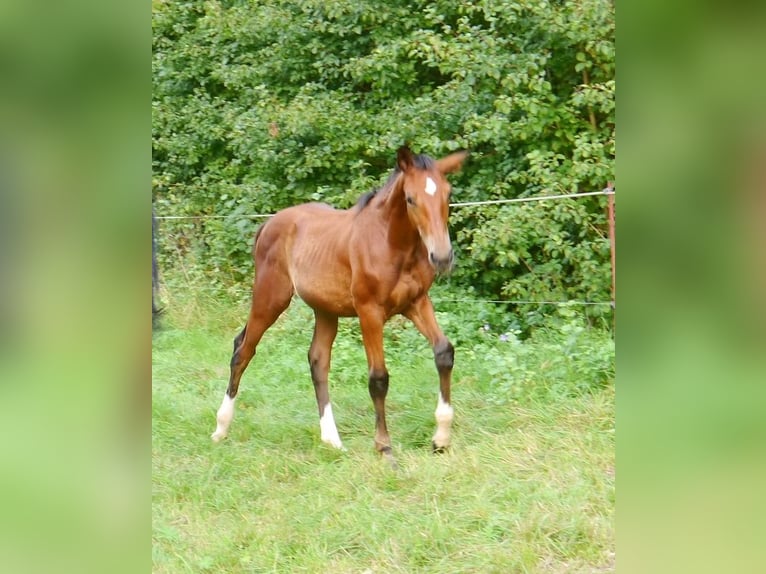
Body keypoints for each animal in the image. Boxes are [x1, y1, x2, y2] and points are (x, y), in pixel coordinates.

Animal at [213, 145, 472, 468]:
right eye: (411, 199)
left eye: (448, 195)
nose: (442, 257)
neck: (392, 244)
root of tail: (267, 224)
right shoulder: (369, 311)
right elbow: (378, 377)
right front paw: (384, 448)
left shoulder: (416, 303)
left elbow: (444, 352)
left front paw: (441, 439)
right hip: (270, 298)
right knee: (244, 350)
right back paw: (221, 428)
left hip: (325, 309)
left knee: (317, 360)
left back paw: (332, 440)